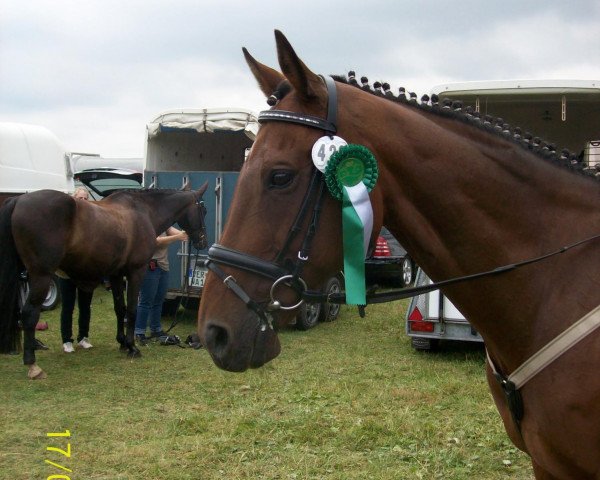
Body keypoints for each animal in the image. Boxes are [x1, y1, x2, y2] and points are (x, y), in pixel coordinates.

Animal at [0, 180, 209, 378]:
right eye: (203, 210)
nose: (203, 242)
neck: (143, 212)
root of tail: (18, 200)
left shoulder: (116, 274)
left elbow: (120, 309)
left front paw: (122, 342)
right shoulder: (136, 272)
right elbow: (132, 310)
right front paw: (132, 346)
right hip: (41, 276)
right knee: (29, 314)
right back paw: (33, 365)